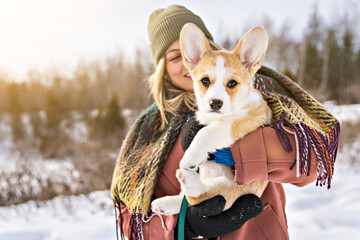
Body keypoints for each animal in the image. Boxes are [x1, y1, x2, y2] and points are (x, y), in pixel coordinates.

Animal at [150, 23, 272, 216]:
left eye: (232, 83)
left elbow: (205, 132)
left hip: (229, 190)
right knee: (185, 199)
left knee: (199, 196)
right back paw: (165, 203)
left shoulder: (237, 123)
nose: (215, 103)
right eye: (205, 81)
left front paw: (190, 157)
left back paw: (188, 179)